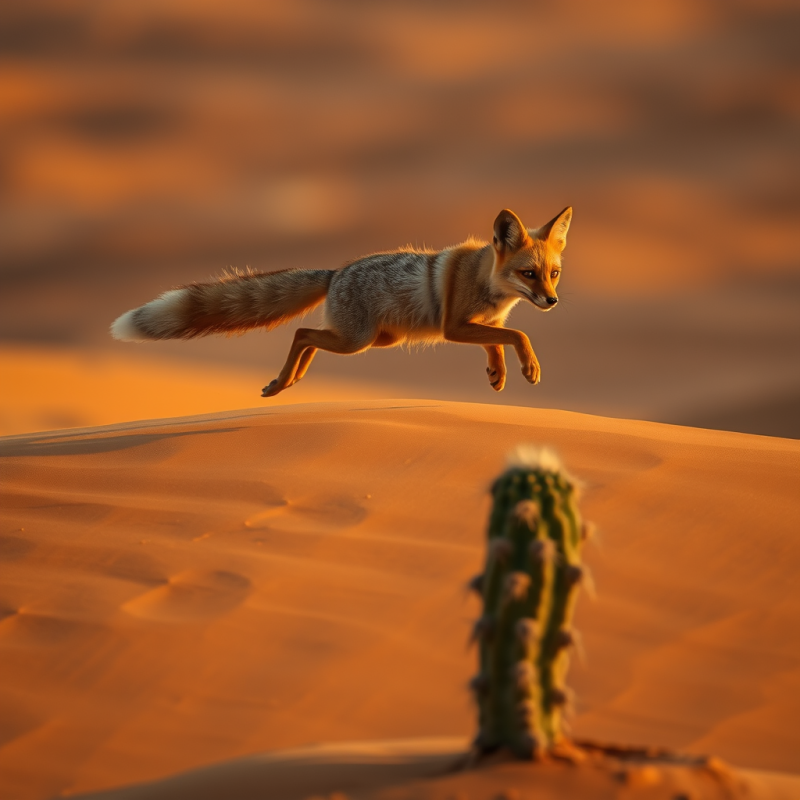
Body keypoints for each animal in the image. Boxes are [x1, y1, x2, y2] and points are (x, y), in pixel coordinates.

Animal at [111, 206, 572, 397]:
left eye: (553, 273)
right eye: (528, 274)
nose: (551, 301)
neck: (486, 282)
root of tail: (335, 272)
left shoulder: (482, 324)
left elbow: (500, 339)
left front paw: (498, 373)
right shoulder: (454, 328)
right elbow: (518, 334)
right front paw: (529, 368)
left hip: (376, 340)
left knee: (311, 336)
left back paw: (291, 379)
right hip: (358, 342)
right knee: (302, 332)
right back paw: (282, 381)